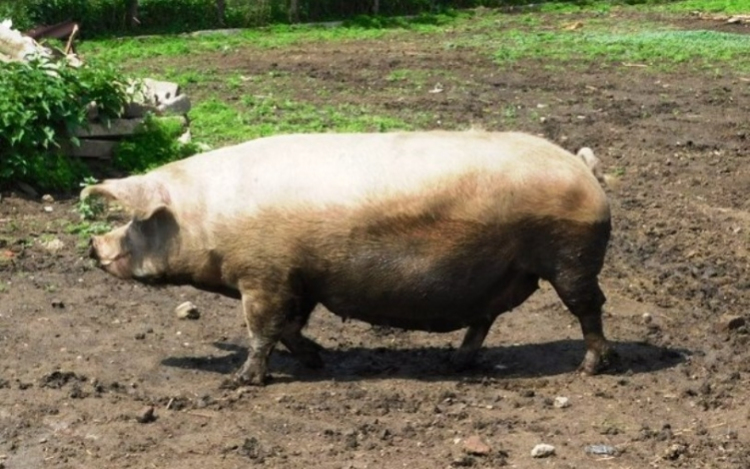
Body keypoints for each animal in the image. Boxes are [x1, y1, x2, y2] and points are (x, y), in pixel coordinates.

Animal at [83, 130, 613, 385]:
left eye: (139, 222)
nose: (93, 246)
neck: (208, 215)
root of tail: (582, 168)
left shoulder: (264, 275)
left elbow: (262, 329)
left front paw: (240, 382)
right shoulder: (299, 277)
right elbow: (290, 327)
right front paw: (318, 360)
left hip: (572, 257)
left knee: (590, 307)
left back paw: (590, 369)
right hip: (505, 272)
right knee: (483, 319)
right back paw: (454, 364)